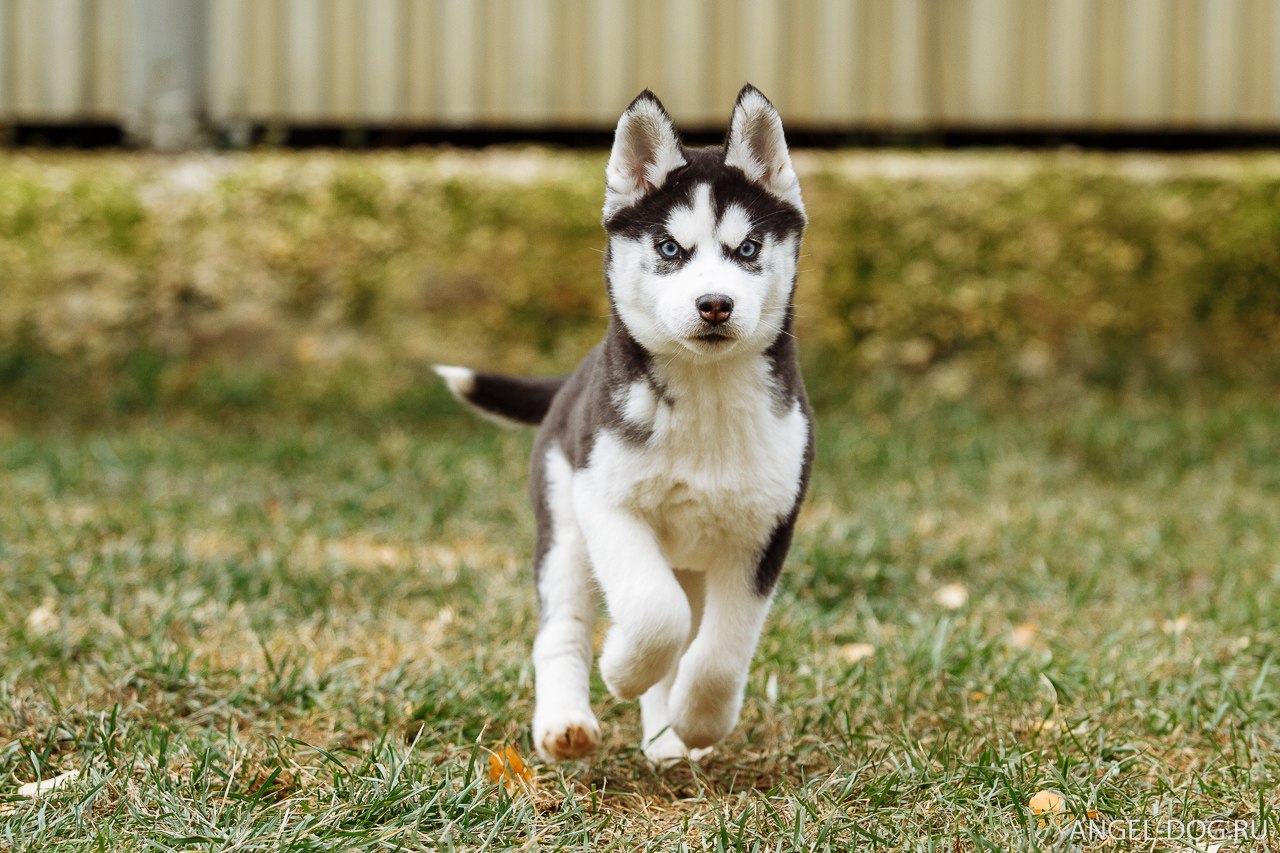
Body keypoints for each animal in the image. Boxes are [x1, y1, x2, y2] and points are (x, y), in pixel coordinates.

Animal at [437, 84, 808, 763]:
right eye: (669, 249)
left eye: (747, 249)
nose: (715, 304)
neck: (705, 396)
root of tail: (572, 380)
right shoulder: (605, 502)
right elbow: (656, 614)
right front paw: (621, 670)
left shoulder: (766, 528)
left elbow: (720, 648)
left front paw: (699, 720)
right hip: (564, 528)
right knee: (563, 626)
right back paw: (565, 721)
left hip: (689, 559)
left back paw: (667, 740)